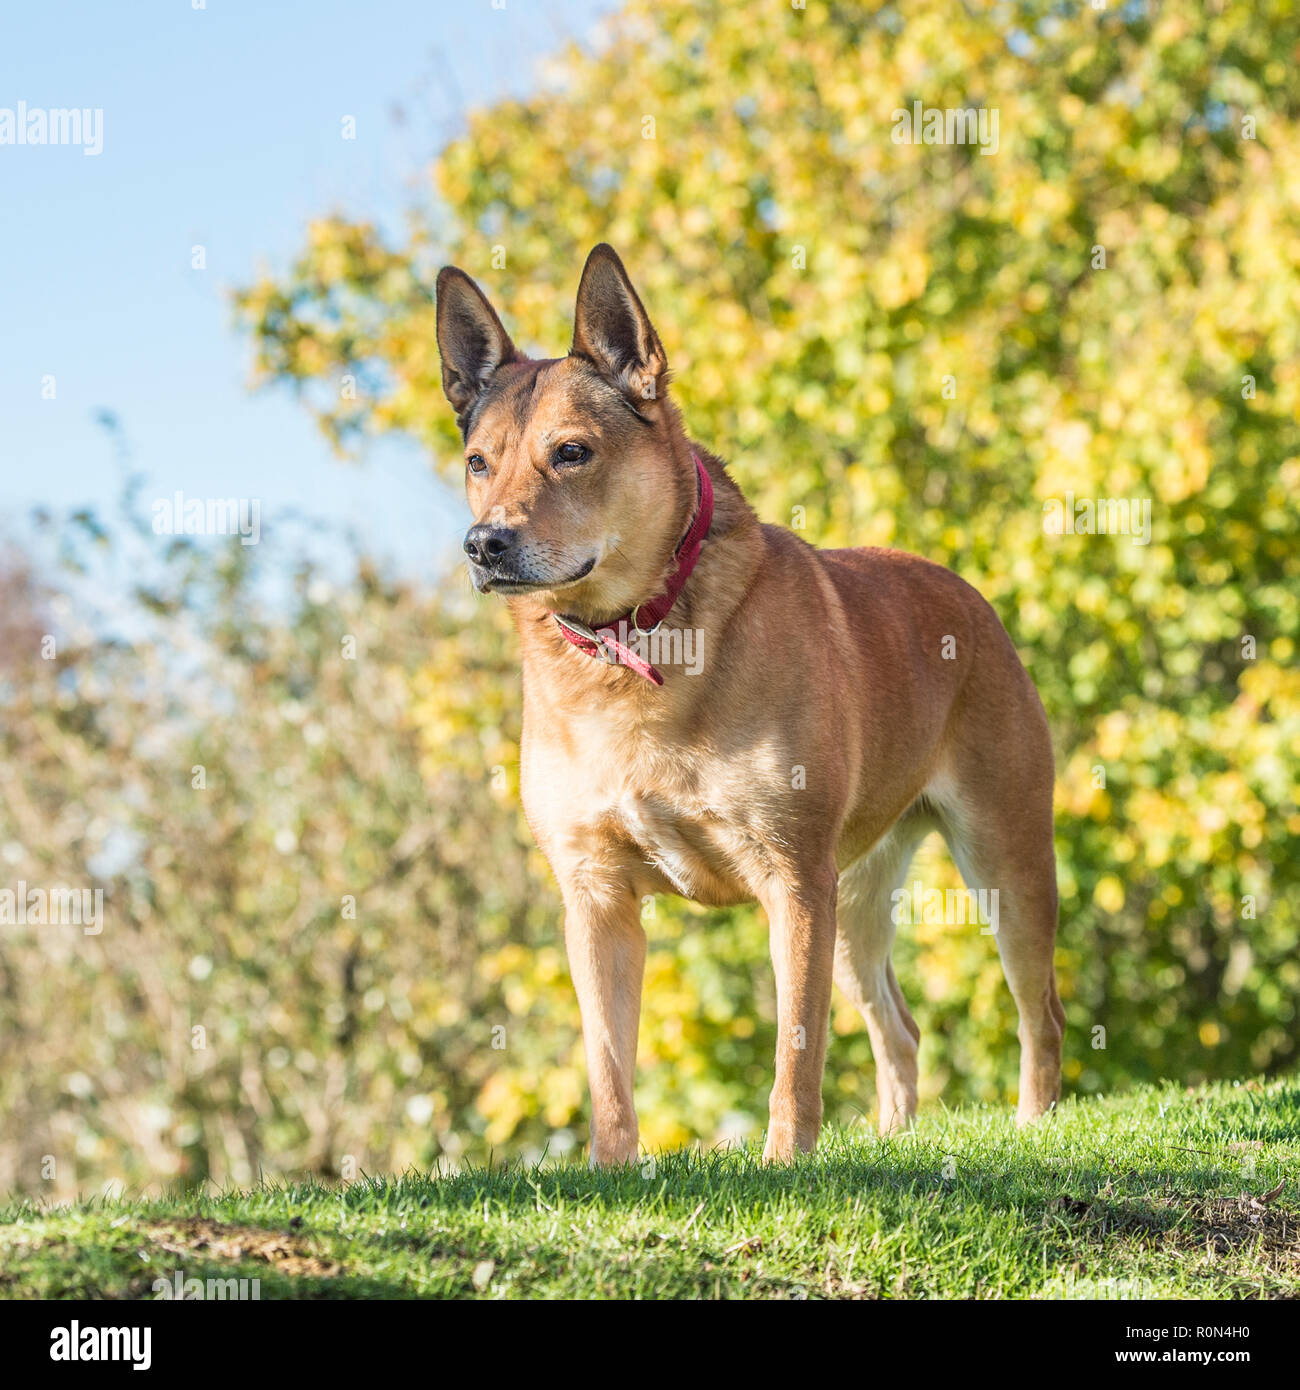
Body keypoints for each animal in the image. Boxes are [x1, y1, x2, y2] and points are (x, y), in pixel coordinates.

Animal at [431, 247, 1062, 1162]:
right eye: (480, 462)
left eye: (572, 453)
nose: (485, 544)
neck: (636, 640)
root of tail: (967, 595)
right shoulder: (595, 896)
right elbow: (608, 1066)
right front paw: (609, 1170)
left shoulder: (793, 880)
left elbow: (795, 1049)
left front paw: (786, 1161)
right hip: (858, 898)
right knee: (899, 1027)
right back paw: (895, 1136)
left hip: (999, 862)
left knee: (1039, 1012)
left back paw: (1035, 1122)